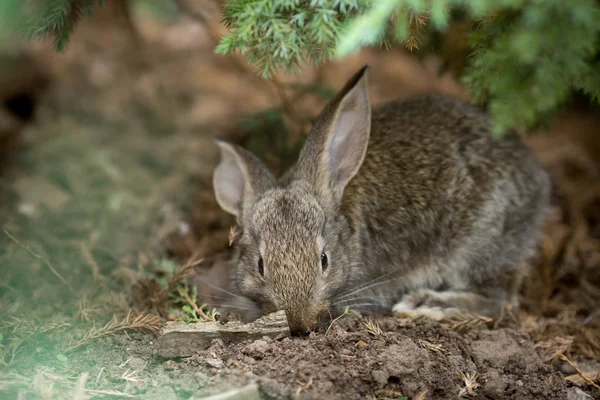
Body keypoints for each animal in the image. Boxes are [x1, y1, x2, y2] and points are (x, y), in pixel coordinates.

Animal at [212, 66, 552, 338]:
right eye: (260, 265)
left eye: (324, 260)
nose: (301, 324)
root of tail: (537, 180)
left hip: (479, 241)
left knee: (498, 297)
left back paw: (426, 303)